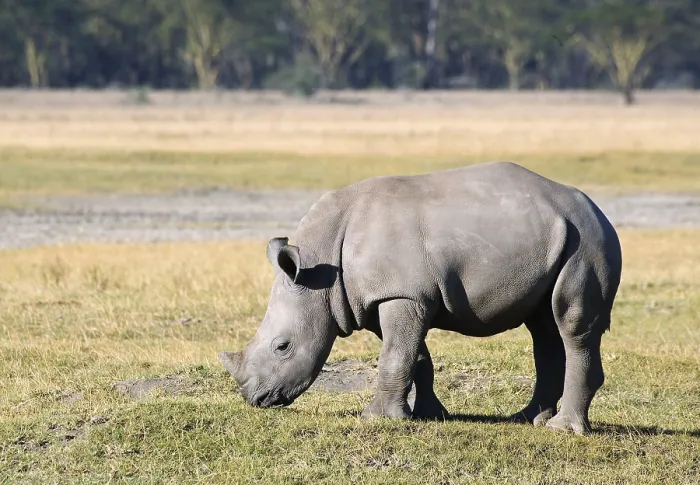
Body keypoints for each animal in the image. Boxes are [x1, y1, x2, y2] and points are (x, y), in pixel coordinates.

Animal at [219, 162, 622, 434]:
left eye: (283, 347)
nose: (255, 399)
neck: (322, 267)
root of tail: (596, 209)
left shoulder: (401, 295)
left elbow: (395, 356)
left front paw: (377, 419)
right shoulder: (390, 296)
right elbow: (415, 356)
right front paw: (430, 414)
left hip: (587, 240)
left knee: (572, 326)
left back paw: (562, 429)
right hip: (557, 239)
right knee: (543, 328)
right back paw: (526, 419)